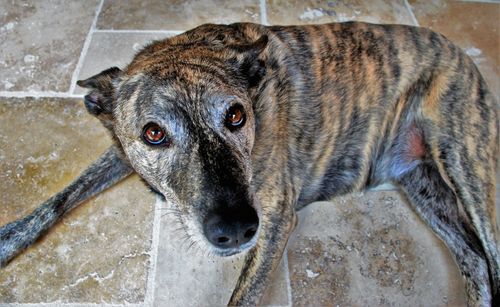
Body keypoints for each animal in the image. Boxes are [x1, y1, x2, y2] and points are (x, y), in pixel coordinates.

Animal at [0, 21, 500, 306]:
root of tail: (459, 52)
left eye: (236, 115)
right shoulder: (122, 151)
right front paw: (10, 237)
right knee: (474, 260)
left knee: (489, 253)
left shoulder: (275, 219)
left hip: (467, 163)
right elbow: (63, 195)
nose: (236, 228)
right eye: (153, 133)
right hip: (423, 184)